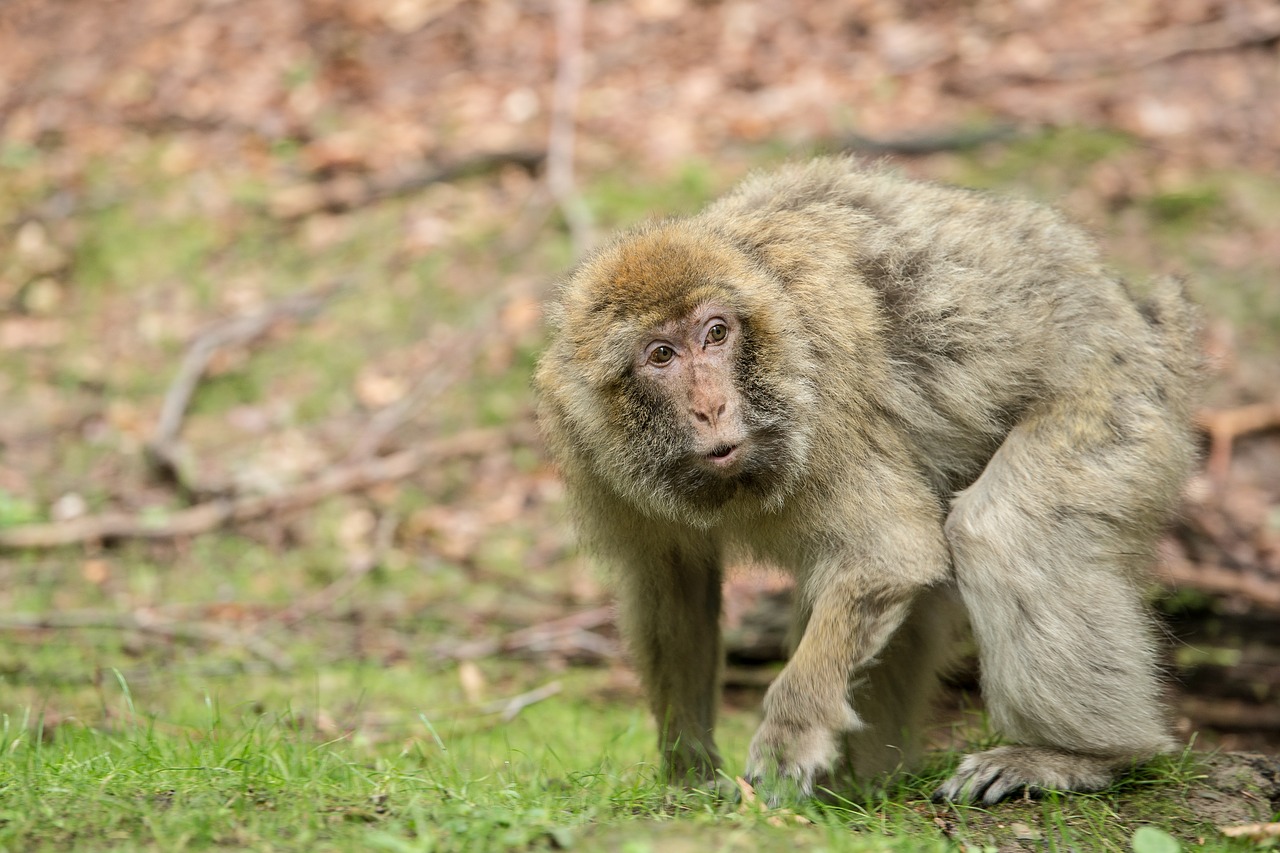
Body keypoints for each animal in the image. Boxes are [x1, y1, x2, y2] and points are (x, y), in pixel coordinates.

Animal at [529, 156, 1198, 799]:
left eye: (715, 333)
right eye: (661, 354)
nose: (712, 408)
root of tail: (1134, 311)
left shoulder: (823, 408)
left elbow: (888, 555)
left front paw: (791, 731)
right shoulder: (589, 449)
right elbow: (672, 590)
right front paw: (689, 769)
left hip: (1114, 395)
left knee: (1001, 531)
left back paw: (1078, 756)